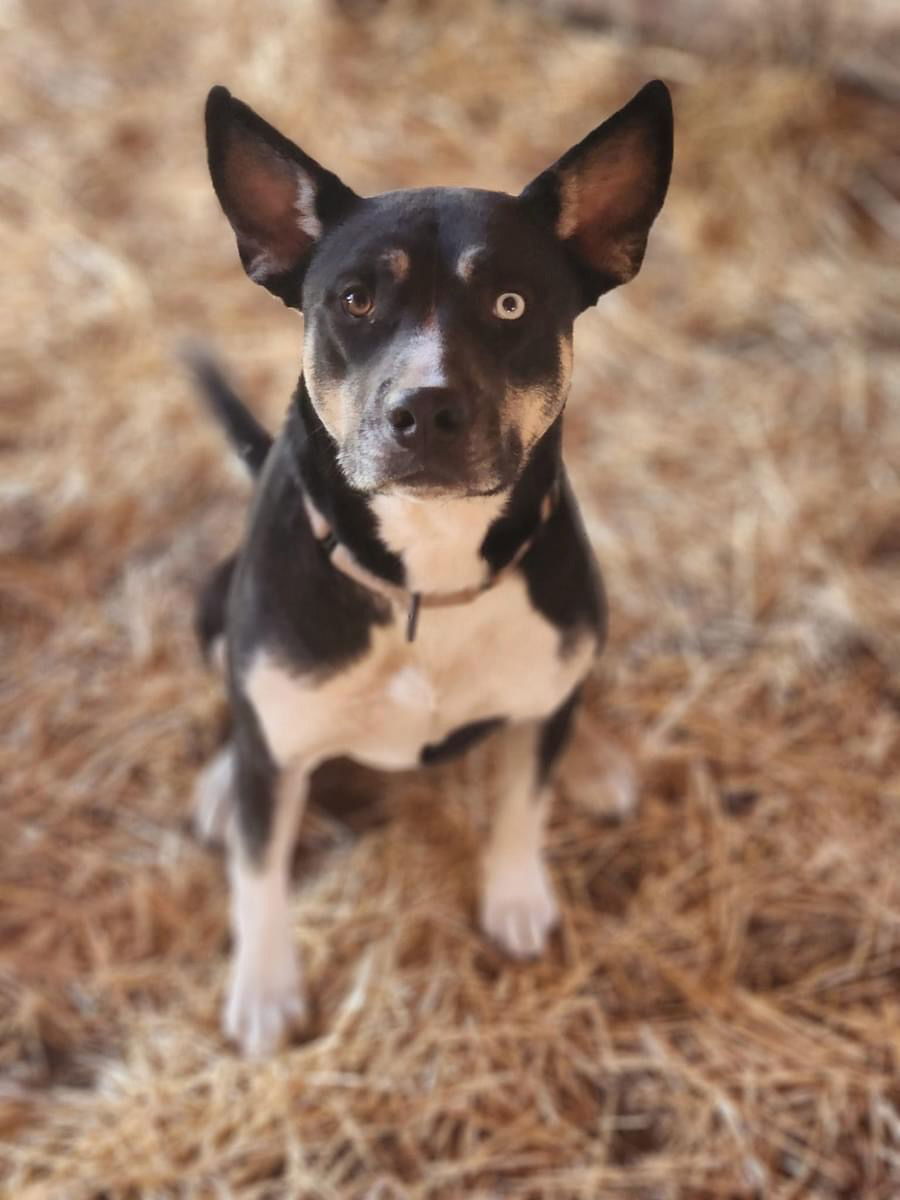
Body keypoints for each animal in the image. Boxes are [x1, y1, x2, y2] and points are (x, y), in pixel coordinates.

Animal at [195, 82, 676, 1051]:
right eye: (354, 300)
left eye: (511, 304)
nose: (425, 409)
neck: (428, 570)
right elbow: (261, 871)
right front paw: (264, 989)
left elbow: (522, 802)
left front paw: (518, 898)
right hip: (210, 606)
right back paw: (226, 784)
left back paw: (592, 756)